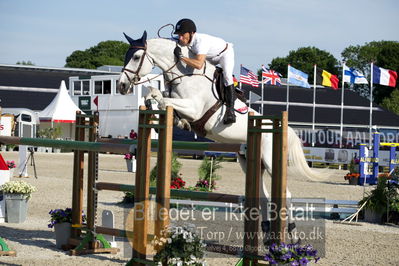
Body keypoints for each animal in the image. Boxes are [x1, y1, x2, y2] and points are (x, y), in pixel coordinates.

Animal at [116, 30, 322, 241]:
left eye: (136, 57)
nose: (121, 85)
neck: (184, 75)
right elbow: (158, 99)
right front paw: (171, 117)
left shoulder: (193, 108)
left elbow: (161, 97)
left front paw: (167, 110)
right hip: (250, 161)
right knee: (264, 196)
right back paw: (266, 235)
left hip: (271, 160)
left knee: (285, 195)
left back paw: (293, 235)